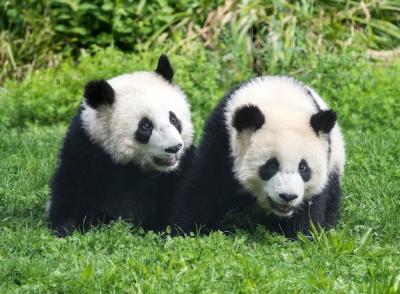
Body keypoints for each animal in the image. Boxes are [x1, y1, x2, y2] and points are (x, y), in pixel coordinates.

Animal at [47, 54, 195, 237]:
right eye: (145, 126)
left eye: (173, 119)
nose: (174, 148)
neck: (135, 168)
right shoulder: (87, 150)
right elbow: (72, 192)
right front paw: (67, 229)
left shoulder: (181, 169)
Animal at [170, 76, 346, 239]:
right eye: (271, 165)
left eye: (303, 168)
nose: (288, 196)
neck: (279, 100)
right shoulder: (222, 139)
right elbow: (205, 184)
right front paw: (186, 231)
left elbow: (311, 203)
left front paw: (302, 235)